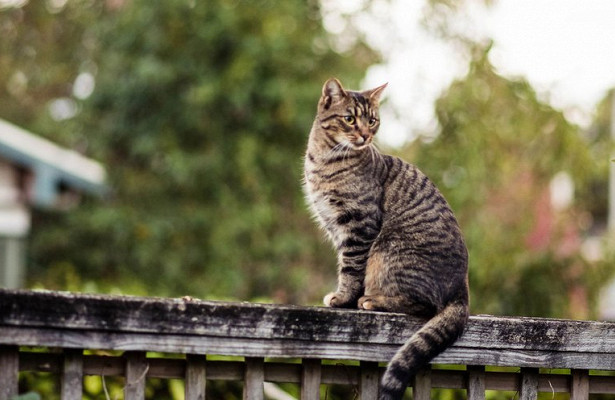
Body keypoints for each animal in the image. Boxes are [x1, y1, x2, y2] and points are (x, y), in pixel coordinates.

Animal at [304, 78, 472, 400]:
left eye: (372, 120)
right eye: (349, 119)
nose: (365, 135)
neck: (325, 161)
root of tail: (462, 288)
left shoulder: (359, 224)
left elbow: (351, 269)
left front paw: (343, 299)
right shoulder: (335, 226)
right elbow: (345, 266)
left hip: (388, 251)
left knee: (423, 305)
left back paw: (372, 300)